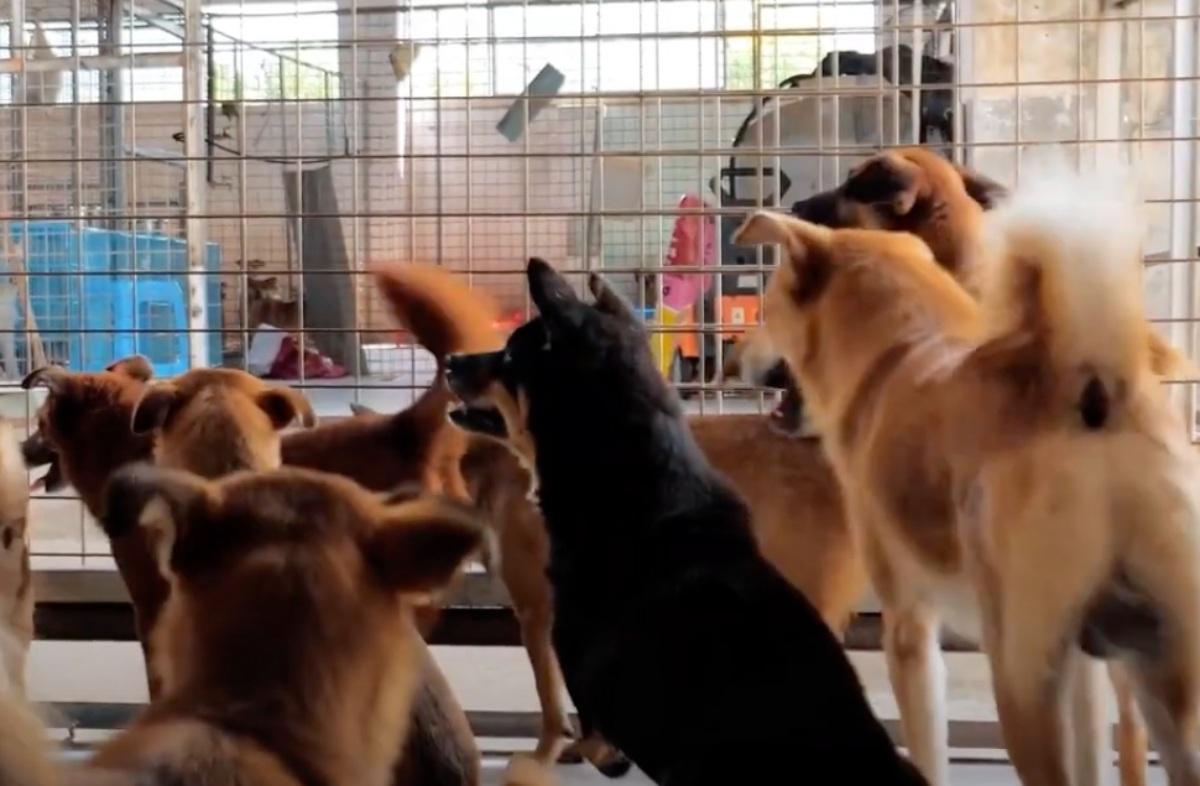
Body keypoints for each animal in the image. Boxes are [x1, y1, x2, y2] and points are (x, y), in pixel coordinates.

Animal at [734, 172, 1200, 786]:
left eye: (766, 309)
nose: (734, 353)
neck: (897, 351)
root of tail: (1097, 390)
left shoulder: (909, 627)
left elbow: (929, 753)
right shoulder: (1087, 666)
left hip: (1022, 681)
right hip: (1164, 678)